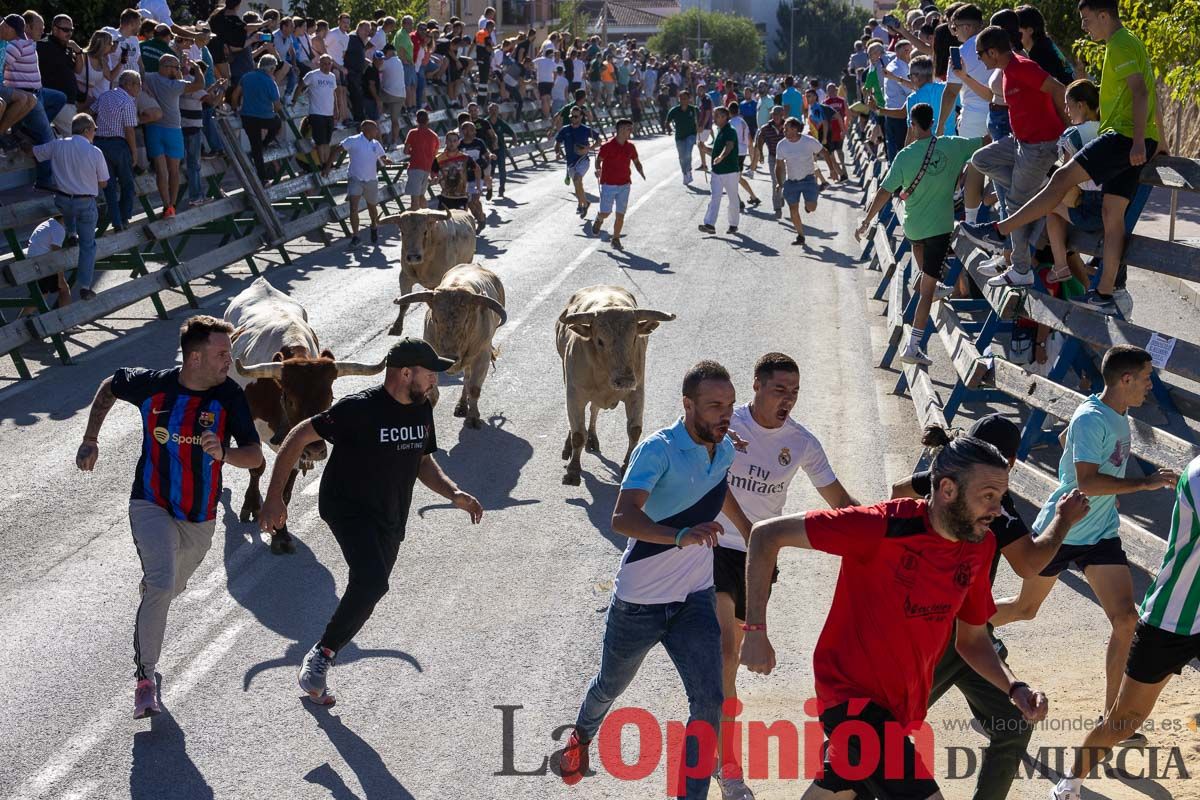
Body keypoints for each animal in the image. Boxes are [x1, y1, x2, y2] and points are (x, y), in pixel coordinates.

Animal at [393, 263, 506, 429]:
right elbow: (432, 390)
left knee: (467, 380)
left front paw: (473, 417)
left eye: (466, 321)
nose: (449, 357)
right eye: (436, 319)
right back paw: (461, 406)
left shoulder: (481, 356)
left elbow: (474, 388)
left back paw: (463, 406)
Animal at [554, 287, 676, 489]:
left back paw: (592, 439)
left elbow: (634, 430)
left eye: (634, 338)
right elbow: (578, 434)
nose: (624, 380)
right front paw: (573, 471)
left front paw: (627, 466)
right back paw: (569, 447)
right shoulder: (574, 394)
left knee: (594, 410)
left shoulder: (637, 391)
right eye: (600, 340)